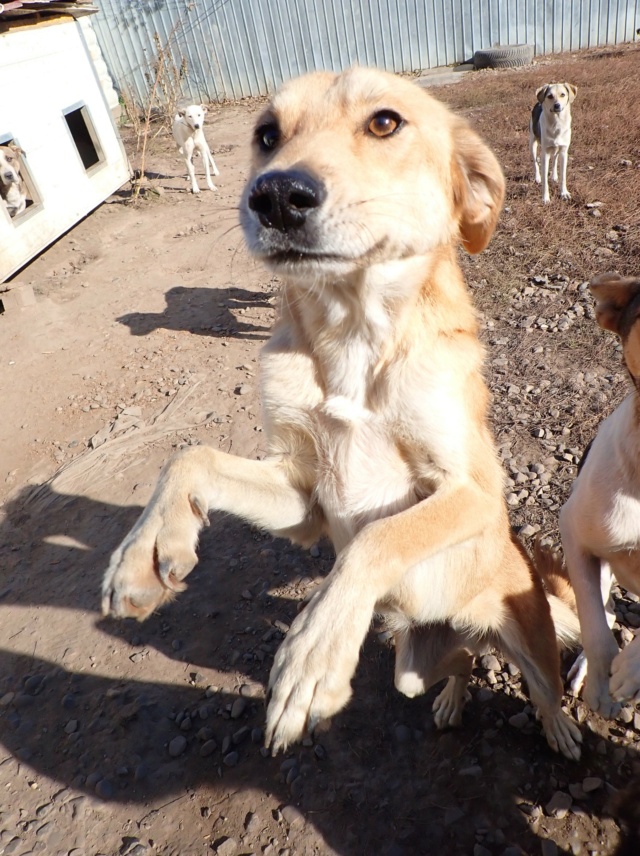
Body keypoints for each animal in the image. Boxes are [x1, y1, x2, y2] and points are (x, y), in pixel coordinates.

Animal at [102, 68, 584, 764]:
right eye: (266, 134)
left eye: (384, 122)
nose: (275, 197)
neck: (354, 334)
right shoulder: (304, 496)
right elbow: (190, 456)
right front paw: (143, 552)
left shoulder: (474, 490)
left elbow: (380, 536)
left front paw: (312, 655)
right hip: (413, 668)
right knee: (462, 662)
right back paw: (451, 697)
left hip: (533, 648)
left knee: (545, 689)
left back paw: (561, 726)